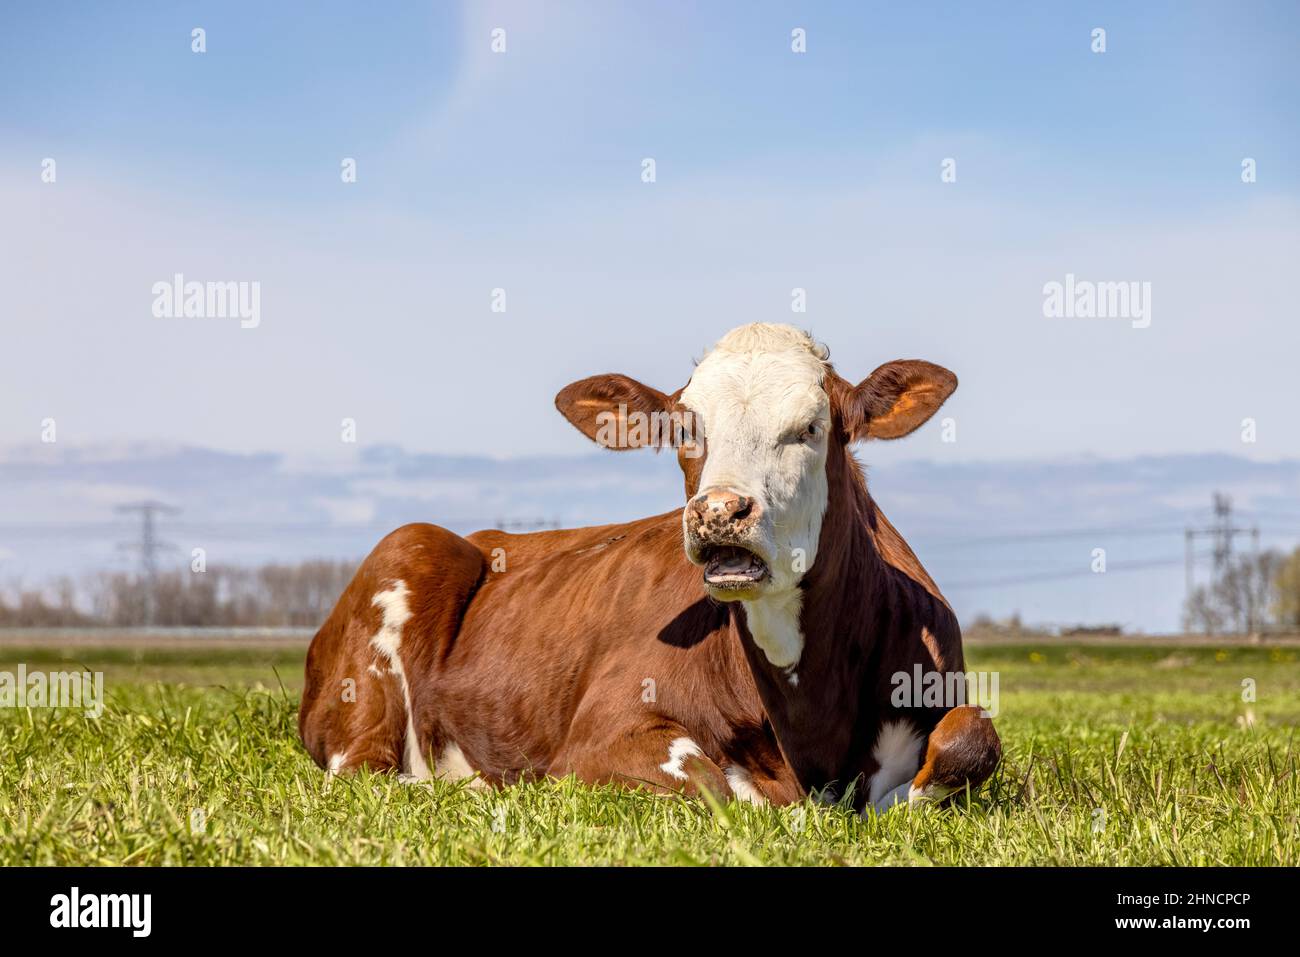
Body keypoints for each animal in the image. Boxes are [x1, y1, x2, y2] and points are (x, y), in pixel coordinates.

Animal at [299, 325, 998, 811]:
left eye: (808, 427)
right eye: (685, 428)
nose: (718, 511)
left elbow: (972, 739)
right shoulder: (596, 739)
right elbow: (715, 784)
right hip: (403, 560)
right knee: (365, 769)